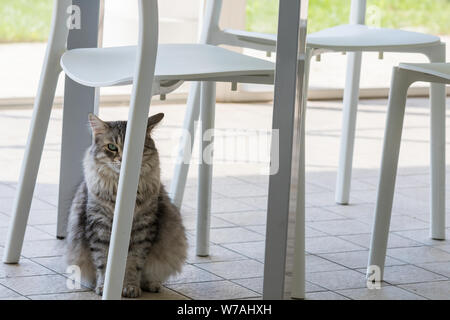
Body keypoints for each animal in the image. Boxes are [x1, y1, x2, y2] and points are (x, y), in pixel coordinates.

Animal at [66, 112, 187, 298]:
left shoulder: (143, 228)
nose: (123, 159)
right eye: (112, 147)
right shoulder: (99, 227)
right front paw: (104, 287)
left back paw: (152, 285)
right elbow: (103, 262)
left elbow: (133, 263)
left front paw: (130, 287)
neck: (120, 190)